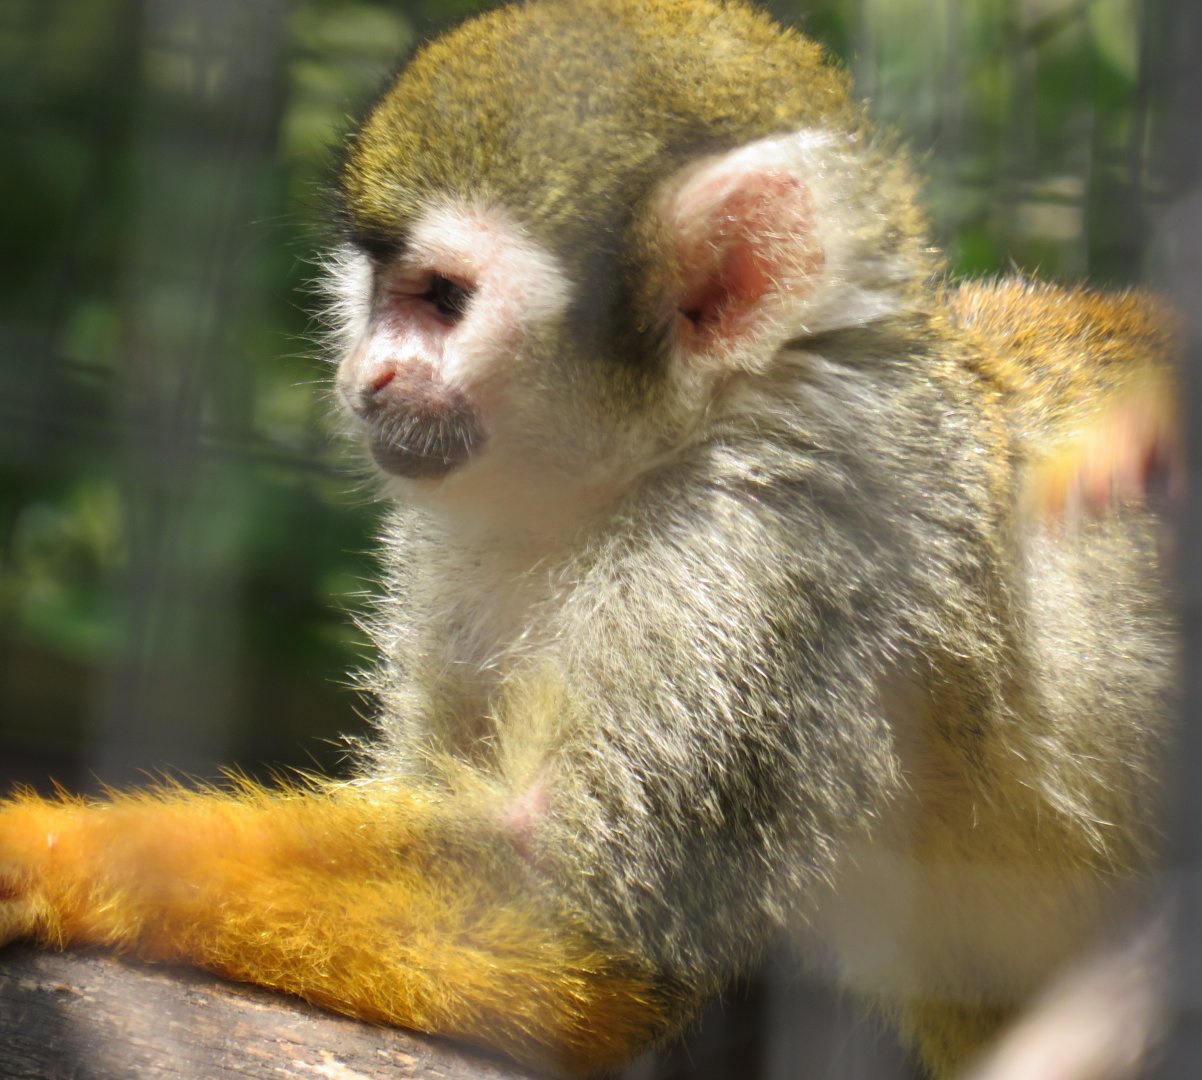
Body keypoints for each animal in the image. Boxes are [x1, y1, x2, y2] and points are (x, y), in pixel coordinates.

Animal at [0, 1, 1180, 1076]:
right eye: (380, 289)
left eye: (441, 299)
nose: (367, 376)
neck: (638, 467)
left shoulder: (759, 561)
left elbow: (579, 930)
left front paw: (45, 853)